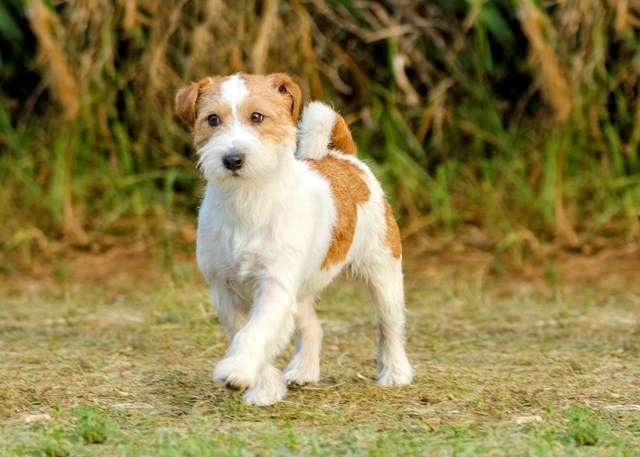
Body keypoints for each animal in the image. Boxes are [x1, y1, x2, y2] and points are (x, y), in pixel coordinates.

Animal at [176, 73, 416, 404]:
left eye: (257, 116)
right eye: (212, 119)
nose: (232, 159)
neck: (248, 201)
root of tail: (344, 158)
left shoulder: (275, 285)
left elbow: (256, 331)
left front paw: (237, 370)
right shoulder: (225, 291)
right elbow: (245, 332)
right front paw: (264, 387)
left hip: (383, 272)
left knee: (389, 324)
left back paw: (395, 372)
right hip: (301, 290)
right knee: (312, 327)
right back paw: (303, 370)